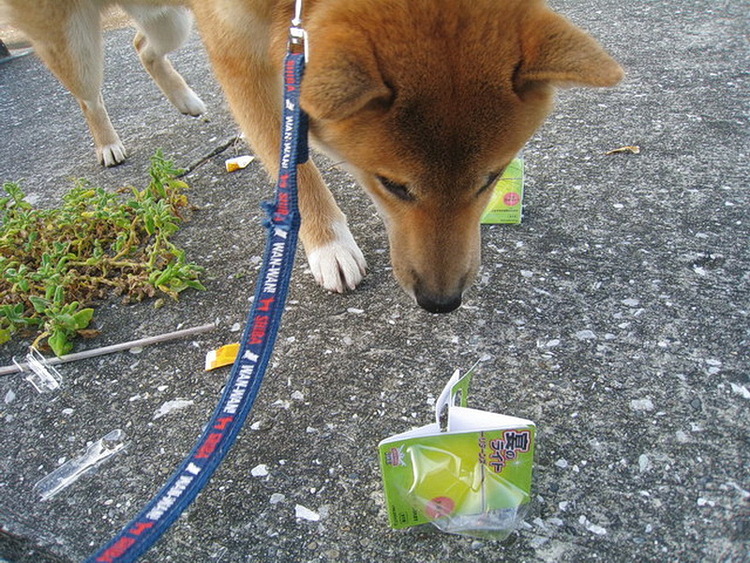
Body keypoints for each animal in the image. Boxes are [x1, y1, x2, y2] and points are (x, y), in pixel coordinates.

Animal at [2, 0, 622, 313]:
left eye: (490, 179)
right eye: (394, 186)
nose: (441, 303)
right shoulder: (243, 58)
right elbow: (293, 167)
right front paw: (329, 245)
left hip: (167, 19)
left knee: (141, 45)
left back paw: (187, 102)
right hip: (81, 44)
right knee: (88, 91)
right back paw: (108, 142)